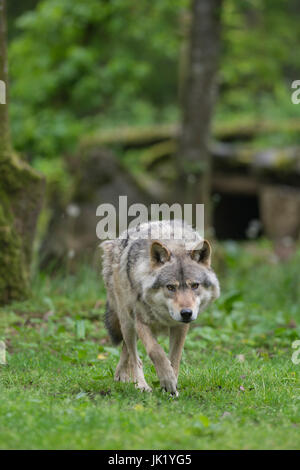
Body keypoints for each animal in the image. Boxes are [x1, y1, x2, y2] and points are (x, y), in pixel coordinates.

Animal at [99, 218, 219, 394]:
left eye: (195, 285)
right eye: (170, 287)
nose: (186, 313)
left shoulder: (180, 327)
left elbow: (175, 358)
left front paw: (172, 385)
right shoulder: (141, 322)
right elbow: (155, 352)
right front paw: (167, 380)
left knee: (126, 350)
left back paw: (121, 376)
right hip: (127, 322)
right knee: (134, 355)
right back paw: (140, 385)